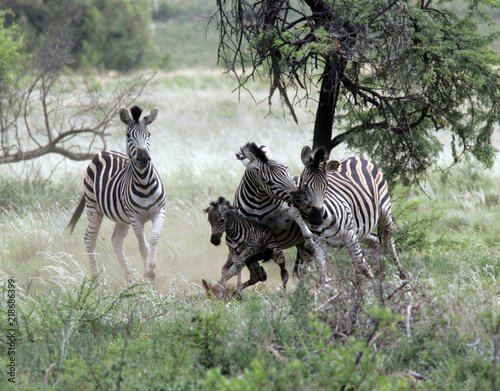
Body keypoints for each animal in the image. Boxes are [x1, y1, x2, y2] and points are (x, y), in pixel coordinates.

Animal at [67, 106, 166, 284]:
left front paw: (152, 270)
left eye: (148, 135)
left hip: (122, 217)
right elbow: (143, 247)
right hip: (93, 207)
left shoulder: (159, 211)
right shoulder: (136, 217)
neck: (144, 183)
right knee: (90, 239)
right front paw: (147, 276)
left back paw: (129, 276)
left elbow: (154, 237)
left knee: (116, 240)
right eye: (128, 135)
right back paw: (96, 280)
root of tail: (103, 152)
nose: (143, 158)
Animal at [294, 145, 408, 284]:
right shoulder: (317, 241)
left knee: (388, 242)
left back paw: (402, 276)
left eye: (326, 185)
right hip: (359, 227)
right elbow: (322, 270)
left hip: (384, 211)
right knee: (375, 239)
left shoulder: (349, 234)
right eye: (305, 185)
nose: (316, 219)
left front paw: (375, 288)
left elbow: (362, 266)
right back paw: (379, 274)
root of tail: (356, 157)